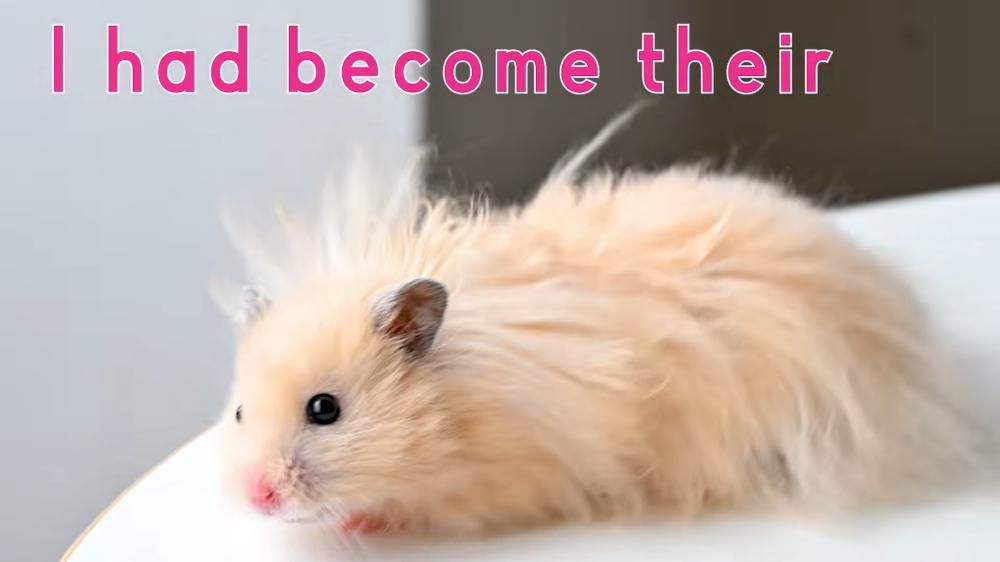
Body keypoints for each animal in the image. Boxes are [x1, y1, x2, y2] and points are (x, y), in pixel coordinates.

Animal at [214, 112, 984, 537]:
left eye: (325, 410)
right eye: (240, 413)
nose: (255, 498)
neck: (463, 403)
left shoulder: (514, 480)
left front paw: (364, 519)